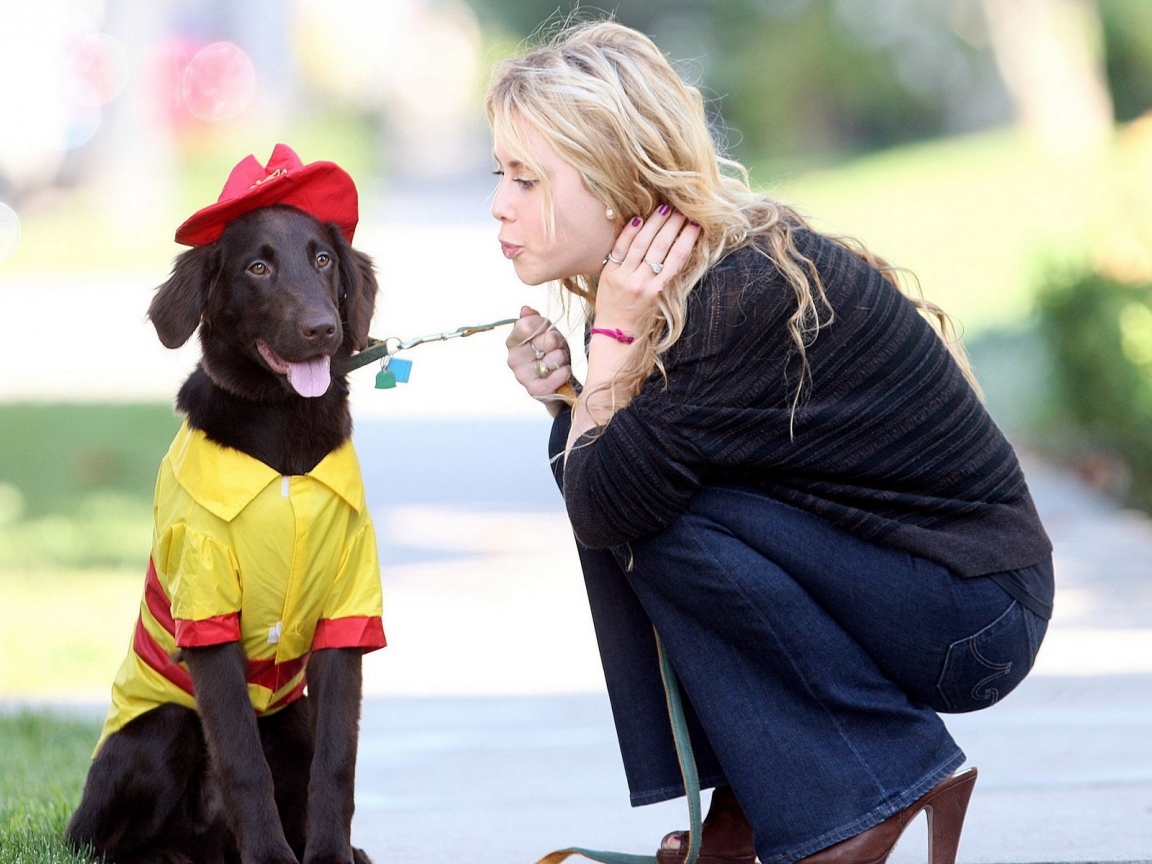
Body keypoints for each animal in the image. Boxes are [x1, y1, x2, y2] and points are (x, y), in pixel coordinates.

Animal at [67, 147, 382, 864]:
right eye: (257, 268)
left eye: (323, 259)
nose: (323, 329)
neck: (285, 440)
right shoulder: (207, 617)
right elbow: (241, 759)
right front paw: (270, 857)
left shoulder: (346, 615)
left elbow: (337, 762)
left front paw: (329, 855)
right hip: (160, 726)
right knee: (109, 842)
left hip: (291, 717)